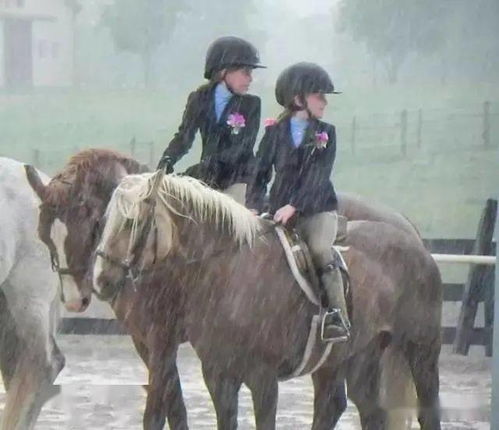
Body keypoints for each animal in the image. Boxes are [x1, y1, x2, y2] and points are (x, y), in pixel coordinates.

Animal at [93, 172, 442, 430]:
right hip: (357, 357)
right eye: (106, 219)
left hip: (421, 350)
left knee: (427, 411)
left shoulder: (263, 379)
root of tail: (416, 243)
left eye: (131, 222)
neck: (229, 274)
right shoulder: (218, 376)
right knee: (362, 411)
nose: (101, 279)